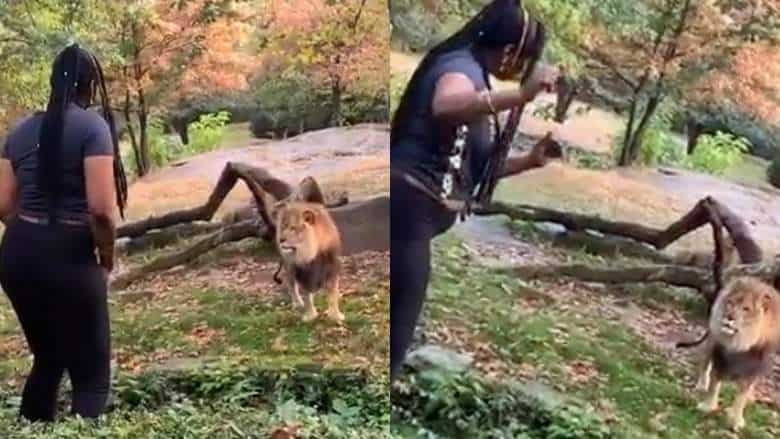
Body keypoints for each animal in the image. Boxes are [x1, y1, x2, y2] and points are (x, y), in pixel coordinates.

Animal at [260, 177, 342, 324]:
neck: (311, 254)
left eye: (293, 228)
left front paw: (335, 316)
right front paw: (310, 315)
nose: (281, 239)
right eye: (283, 227)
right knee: (290, 284)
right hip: (289, 267)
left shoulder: (332, 267)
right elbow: (307, 296)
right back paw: (297, 303)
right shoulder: (302, 273)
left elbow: (333, 294)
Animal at [692, 276, 776, 432]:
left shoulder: (754, 367)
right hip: (710, 341)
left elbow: (742, 397)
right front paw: (707, 406)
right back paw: (701, 385)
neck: (739, 343)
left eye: (746, 309)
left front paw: (736, 420)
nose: (729, 316)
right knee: (705, 364)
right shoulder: (720, 357)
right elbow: (714, 385)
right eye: (730, 303)